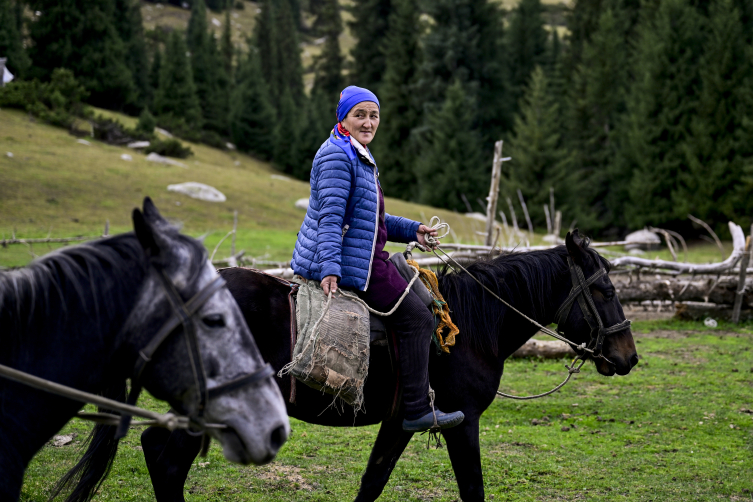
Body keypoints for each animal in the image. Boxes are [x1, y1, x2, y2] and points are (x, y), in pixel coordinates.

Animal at [113, 229, 636, 500]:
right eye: (605, 290)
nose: (628, 356)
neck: (472, 327)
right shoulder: (462, 421)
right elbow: (472, 487)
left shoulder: (401, 421)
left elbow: (373, 479)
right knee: (166, 461)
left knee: (156, 451)